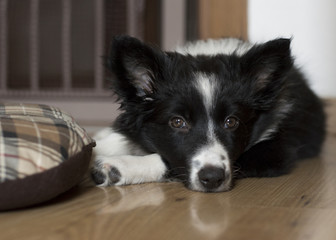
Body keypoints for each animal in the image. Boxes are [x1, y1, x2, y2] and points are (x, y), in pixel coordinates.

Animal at [90, 35, 326, 192]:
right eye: (177, 122)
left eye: (231, 122)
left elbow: (168, 161)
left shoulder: (275, 151)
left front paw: (120, 166)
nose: (213, 178)